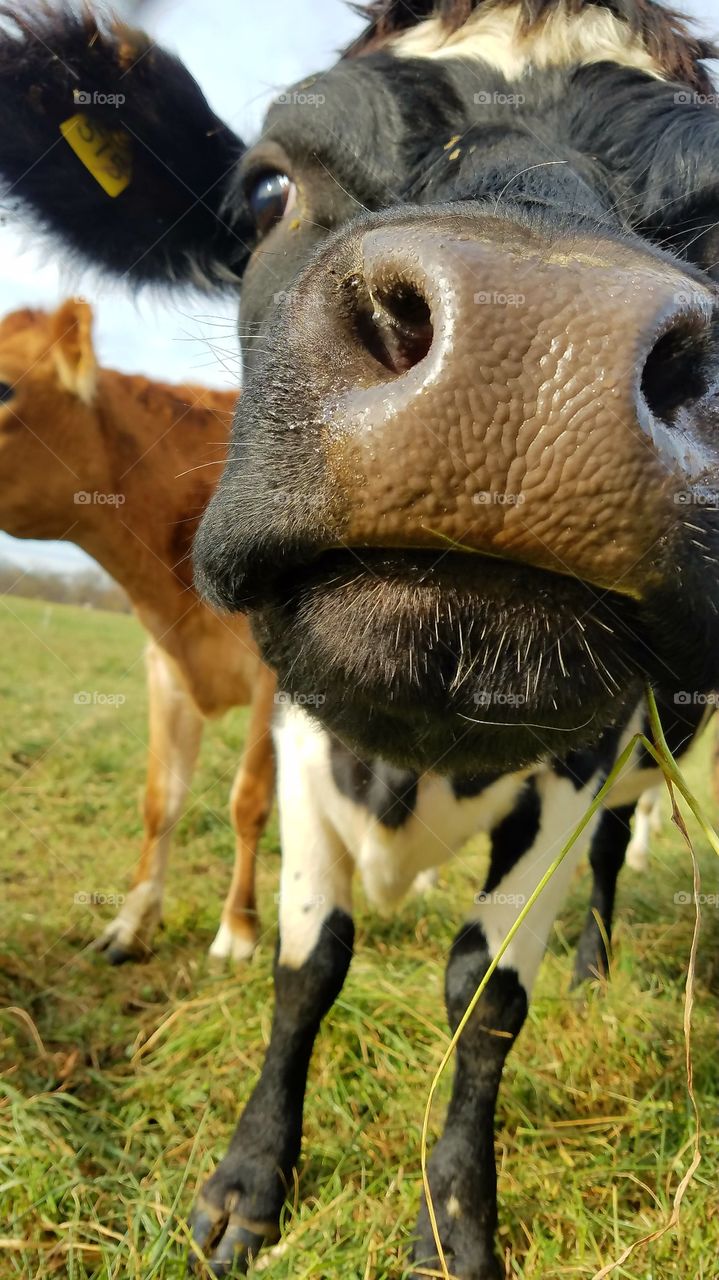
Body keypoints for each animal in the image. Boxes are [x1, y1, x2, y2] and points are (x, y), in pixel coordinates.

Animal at [0, 296, 273, 962]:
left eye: (2, 388)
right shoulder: (163, 665)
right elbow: (161, 797)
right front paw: (131, 922)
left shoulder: (272, 678)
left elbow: (249, 799)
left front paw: (238, 931)